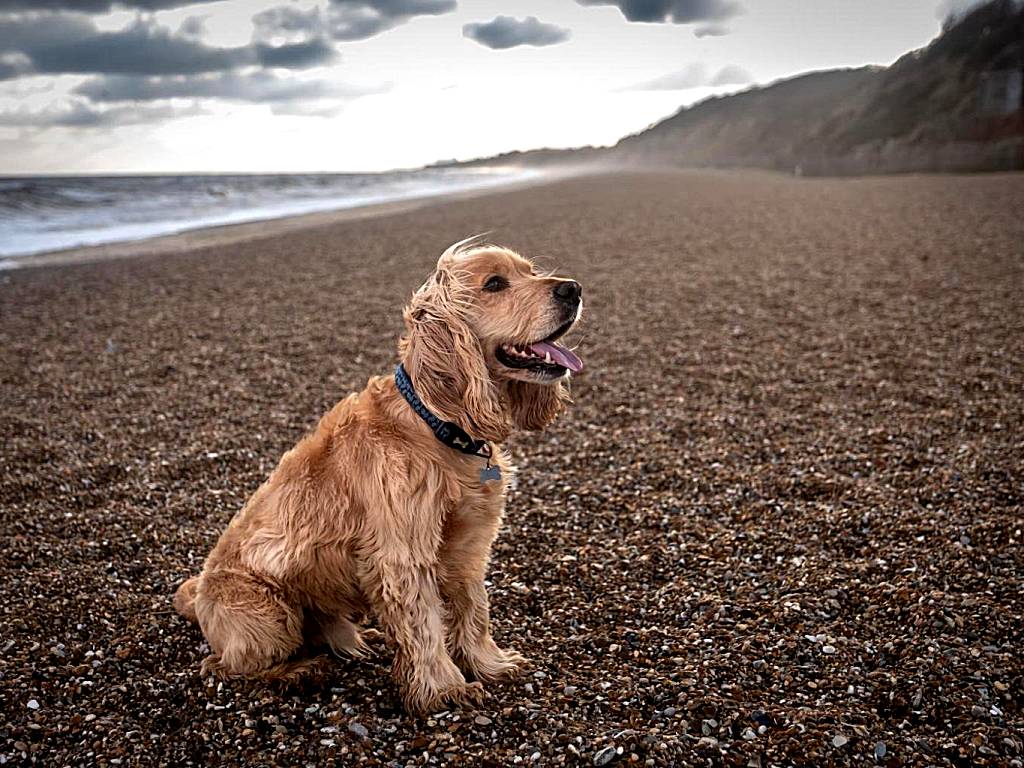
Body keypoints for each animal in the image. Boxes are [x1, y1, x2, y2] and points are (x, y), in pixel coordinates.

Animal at [176, 240, 585, 716]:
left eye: (531, 271)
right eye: (495, 283)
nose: (573, 289)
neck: (435, 423)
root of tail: (198, 596)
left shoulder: (468, 544)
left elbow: (474, 609)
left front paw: (490, 663)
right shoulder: (404, 554)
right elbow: (424, 626)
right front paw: (444, 689)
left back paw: (356, 639)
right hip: (267, 615)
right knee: (226, 666)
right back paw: (299, 671)